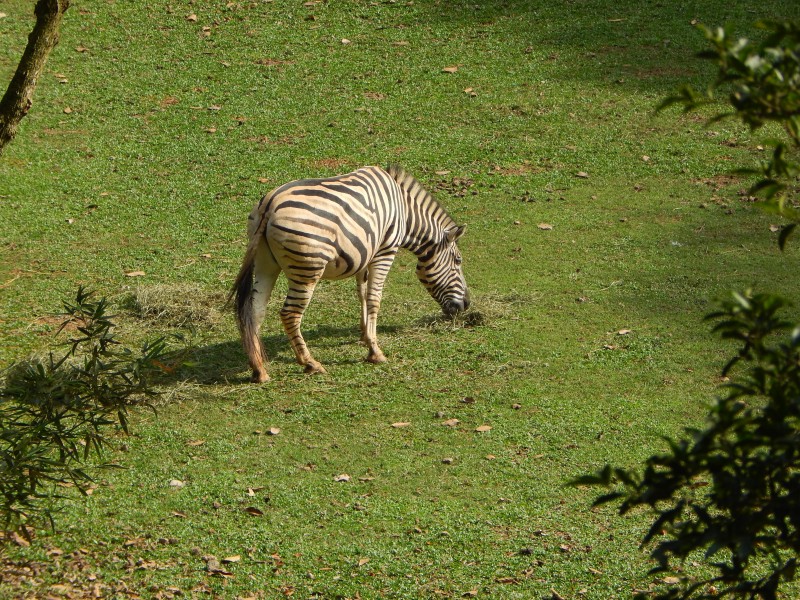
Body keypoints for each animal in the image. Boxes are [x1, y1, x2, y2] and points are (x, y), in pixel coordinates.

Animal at [231, 164, 468, 382]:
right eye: (458, 261)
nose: (466, 305)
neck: (405, 211)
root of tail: (269, 204)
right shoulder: (385, 251)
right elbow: (374, 298)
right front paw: (375, 351)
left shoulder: (366, 253)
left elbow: (361, 294)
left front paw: (365, 335)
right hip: (307, 269)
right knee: (290, 314)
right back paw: (310, 363)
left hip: (265, 263)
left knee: (255, 310)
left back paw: (259, 369)